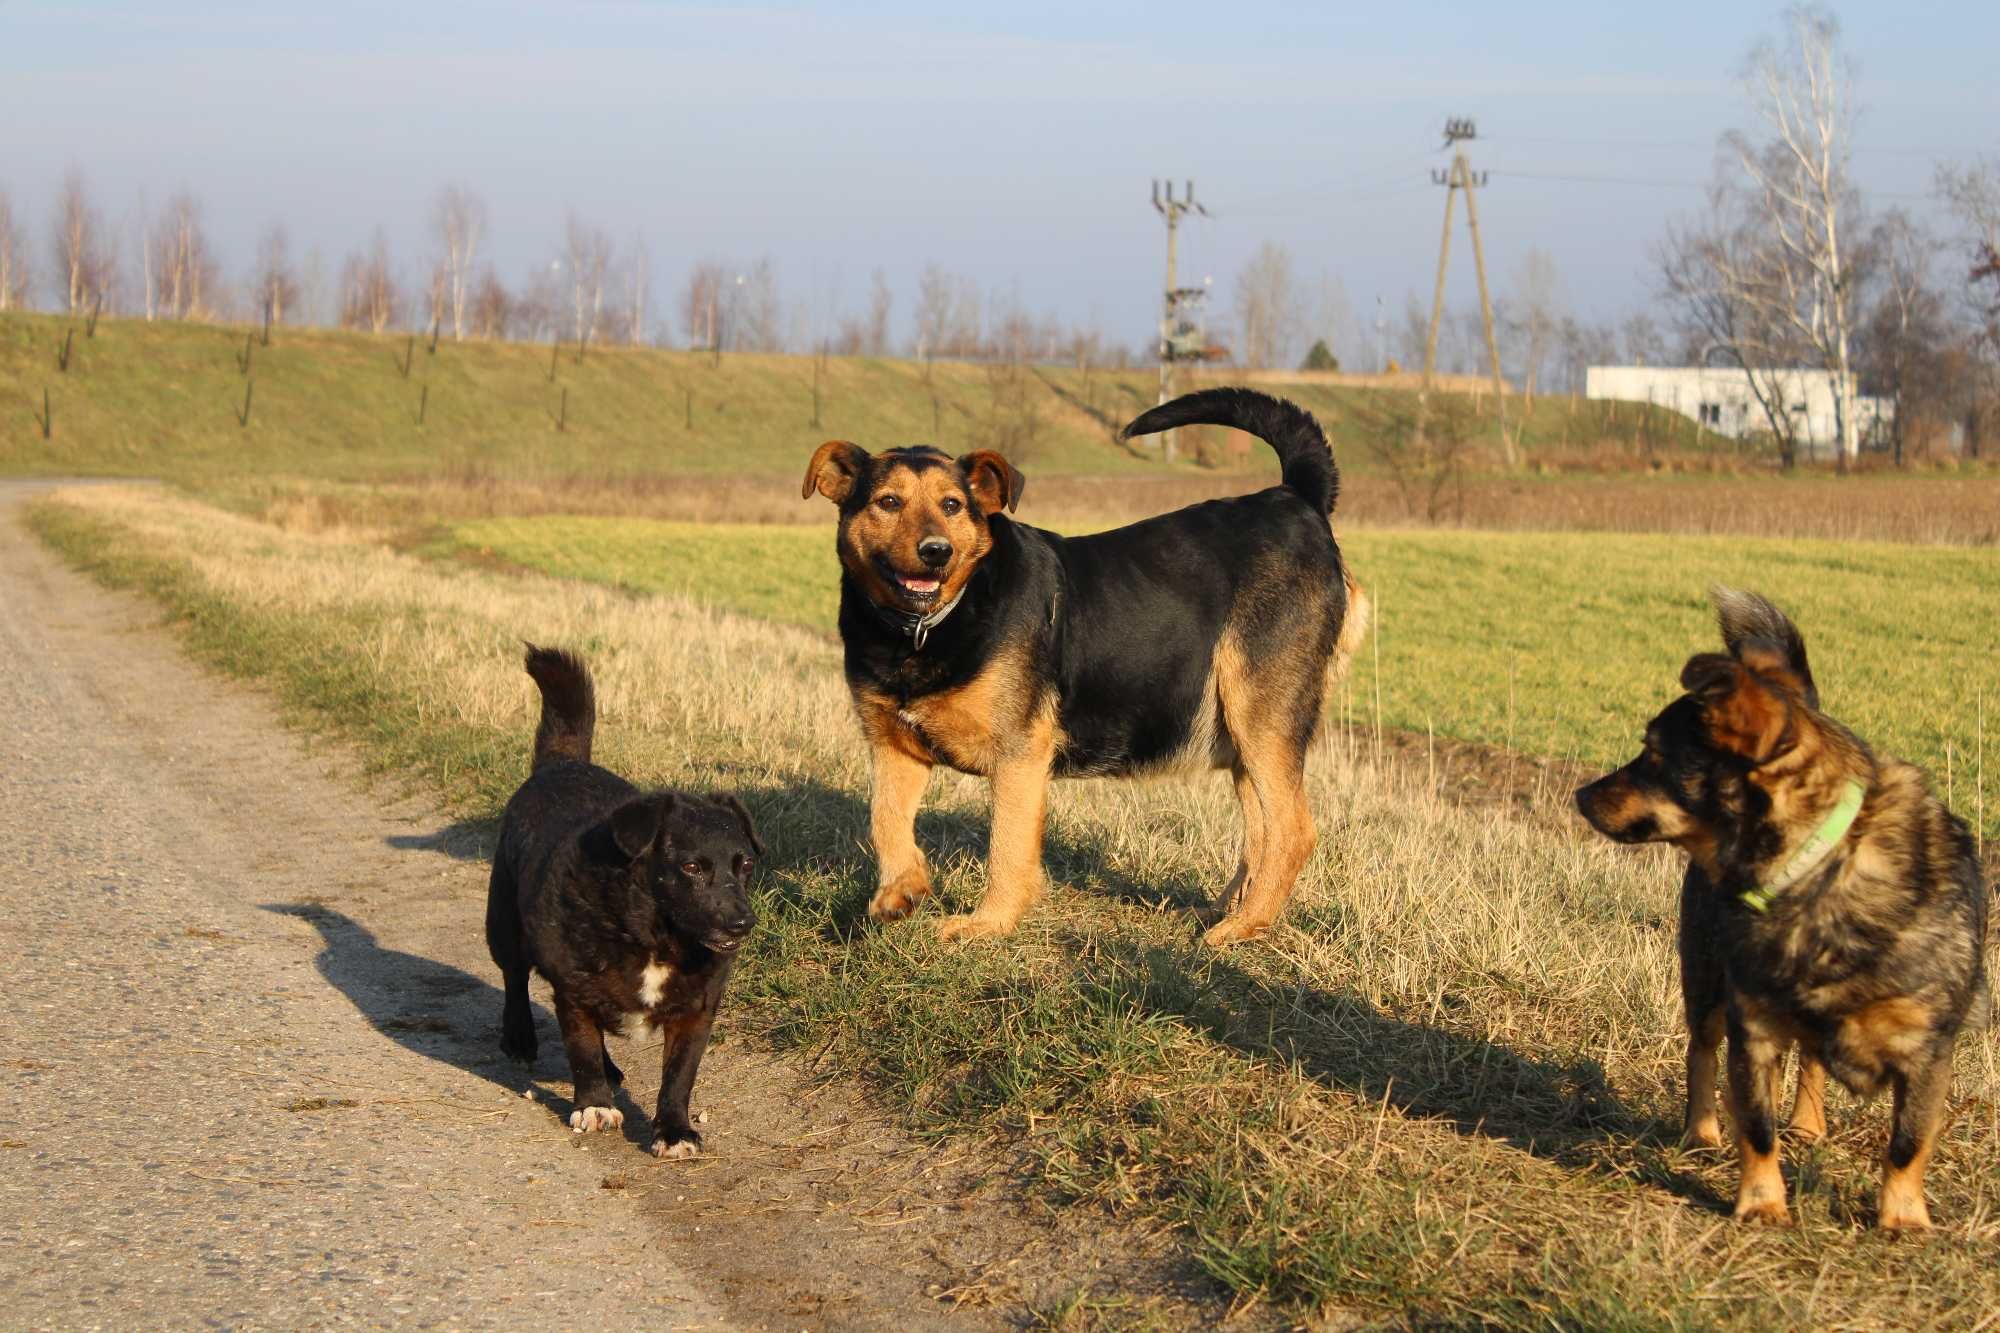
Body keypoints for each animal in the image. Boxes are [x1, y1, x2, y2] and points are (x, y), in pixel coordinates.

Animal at [488, 644, 760, 1152]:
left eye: (746, 865)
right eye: (692, 867)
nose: (742, 923)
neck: (654, 937)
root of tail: (560, 762)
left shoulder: (696, 1012)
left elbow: (679, 1076)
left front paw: (674, 1129)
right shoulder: (574, 992)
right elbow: (582, 1051)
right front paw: (594, 1104)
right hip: (504, 923)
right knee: (515, 978)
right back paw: (519, 1038)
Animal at [804, 386, 1368, 944]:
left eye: (952, 505)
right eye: (888, 502)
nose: (936, 551)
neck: (925, 628)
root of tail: (1297, 498)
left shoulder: (1019, 755)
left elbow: (1006, 846)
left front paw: (988, 924)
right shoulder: (893, 747)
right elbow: (886, 819)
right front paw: (900, 891)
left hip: (1262, 714)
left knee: (1292, 832)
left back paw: (1243, 927)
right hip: (1243, 732)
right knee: (1261, 832)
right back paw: (1224, 912)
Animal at [1576, 588, 1984, 1224]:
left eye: (1653, 755)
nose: (1580, 794)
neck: (1815, 869)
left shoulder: (1928, 1050)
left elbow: (1908, 1142)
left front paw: (1903, 1217)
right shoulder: (1754, 1031)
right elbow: (1757, 1129)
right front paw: (1762, 1203)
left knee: (1813, 1062)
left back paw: (1810, 1124)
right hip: (1706, 980)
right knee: (1702, 1050)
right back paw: (1701, 1134)